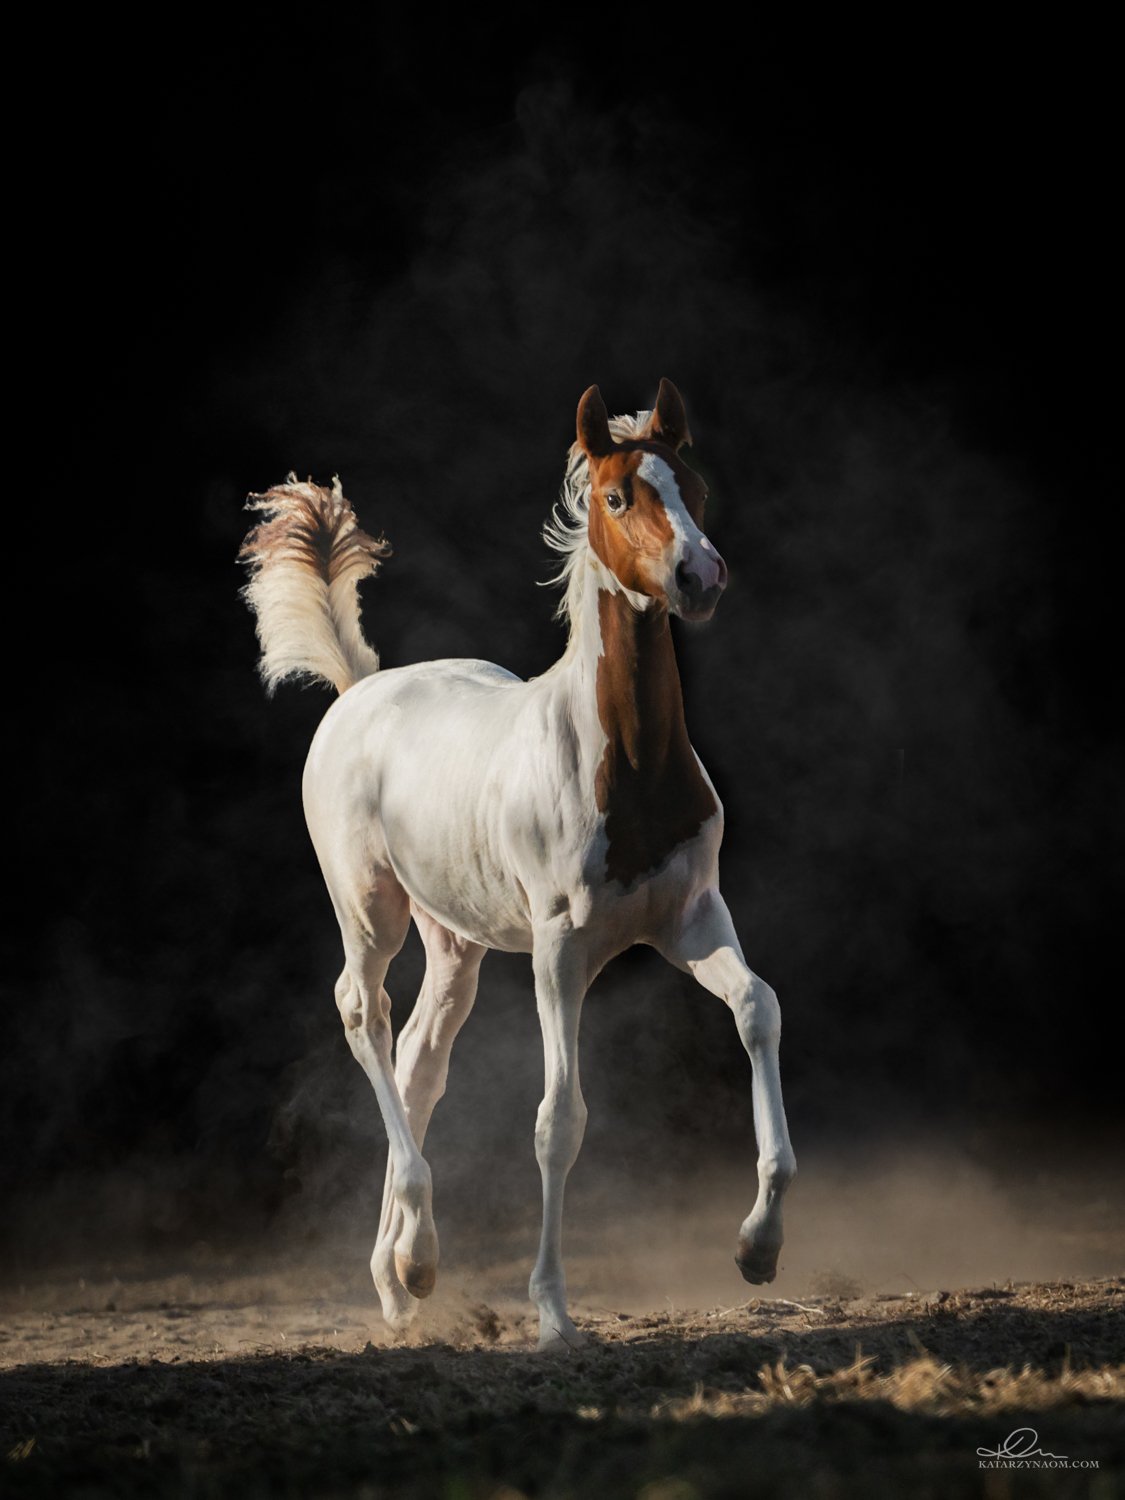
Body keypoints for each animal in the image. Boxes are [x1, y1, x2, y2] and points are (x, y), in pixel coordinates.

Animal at [239, 380, 796, 1350]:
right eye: (617, 496)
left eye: (691, 486)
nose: (700, 576)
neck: (629, 765)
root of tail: (359, 689)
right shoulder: (559, 951)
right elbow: (557, 1118)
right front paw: (553, 1313)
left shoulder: (691, 918)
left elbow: (757, 1010)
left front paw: (757, 1246)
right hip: (369, 910)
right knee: (363, 1014)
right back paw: (416, 1261)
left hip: (454, 941)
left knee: (420, 1060)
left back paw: (398, 1278)